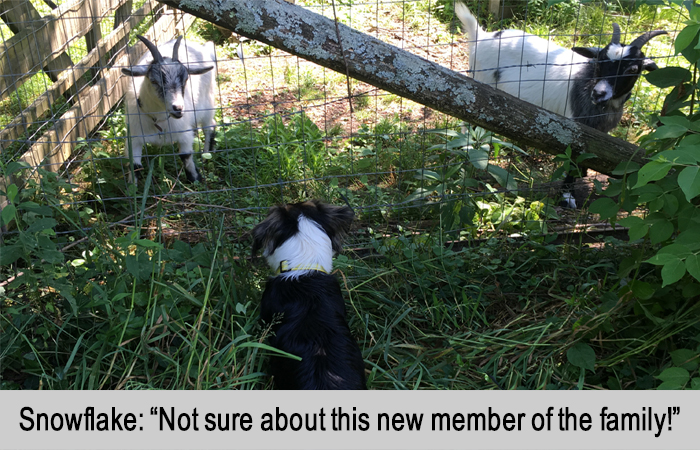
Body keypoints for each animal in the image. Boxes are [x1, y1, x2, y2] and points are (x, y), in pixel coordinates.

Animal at [121, 34, 217, 183]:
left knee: (210, 126)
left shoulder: (184, 134)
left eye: (185, 80)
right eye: (154, 81)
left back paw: (206, 155)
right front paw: (133, 186)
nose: (178, 108)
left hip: (207, 104)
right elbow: (135, 165)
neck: (158, 119)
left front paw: (195, 179)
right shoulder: (134, 138)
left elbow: (185, 156)